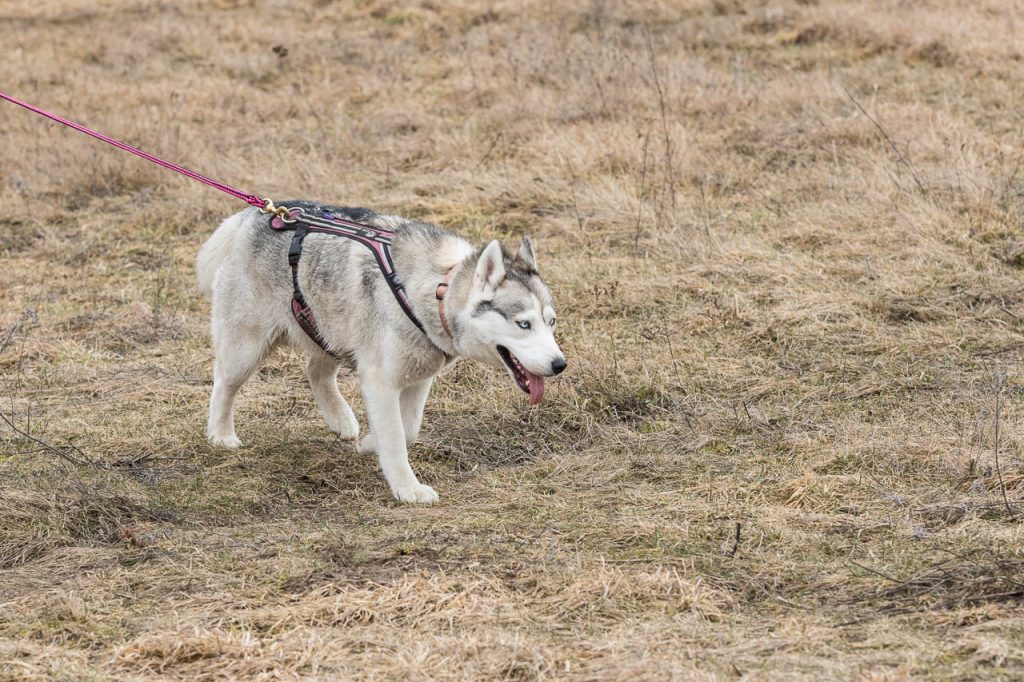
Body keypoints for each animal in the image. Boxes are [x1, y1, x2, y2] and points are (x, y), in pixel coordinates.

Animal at [195, 200, 566, 503]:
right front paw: (407, 489)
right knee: (224, 385)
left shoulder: (419, 377)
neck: (436, 290)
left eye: (551, 322)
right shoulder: (380, 381)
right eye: (523, 324)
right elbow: (396, 436)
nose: (560, 364)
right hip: (247, 348)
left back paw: (340, 419)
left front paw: (369, 444)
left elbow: (409, 428)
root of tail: (253, 214)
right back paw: (221, 435)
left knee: (315, 371)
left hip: (329, 329)